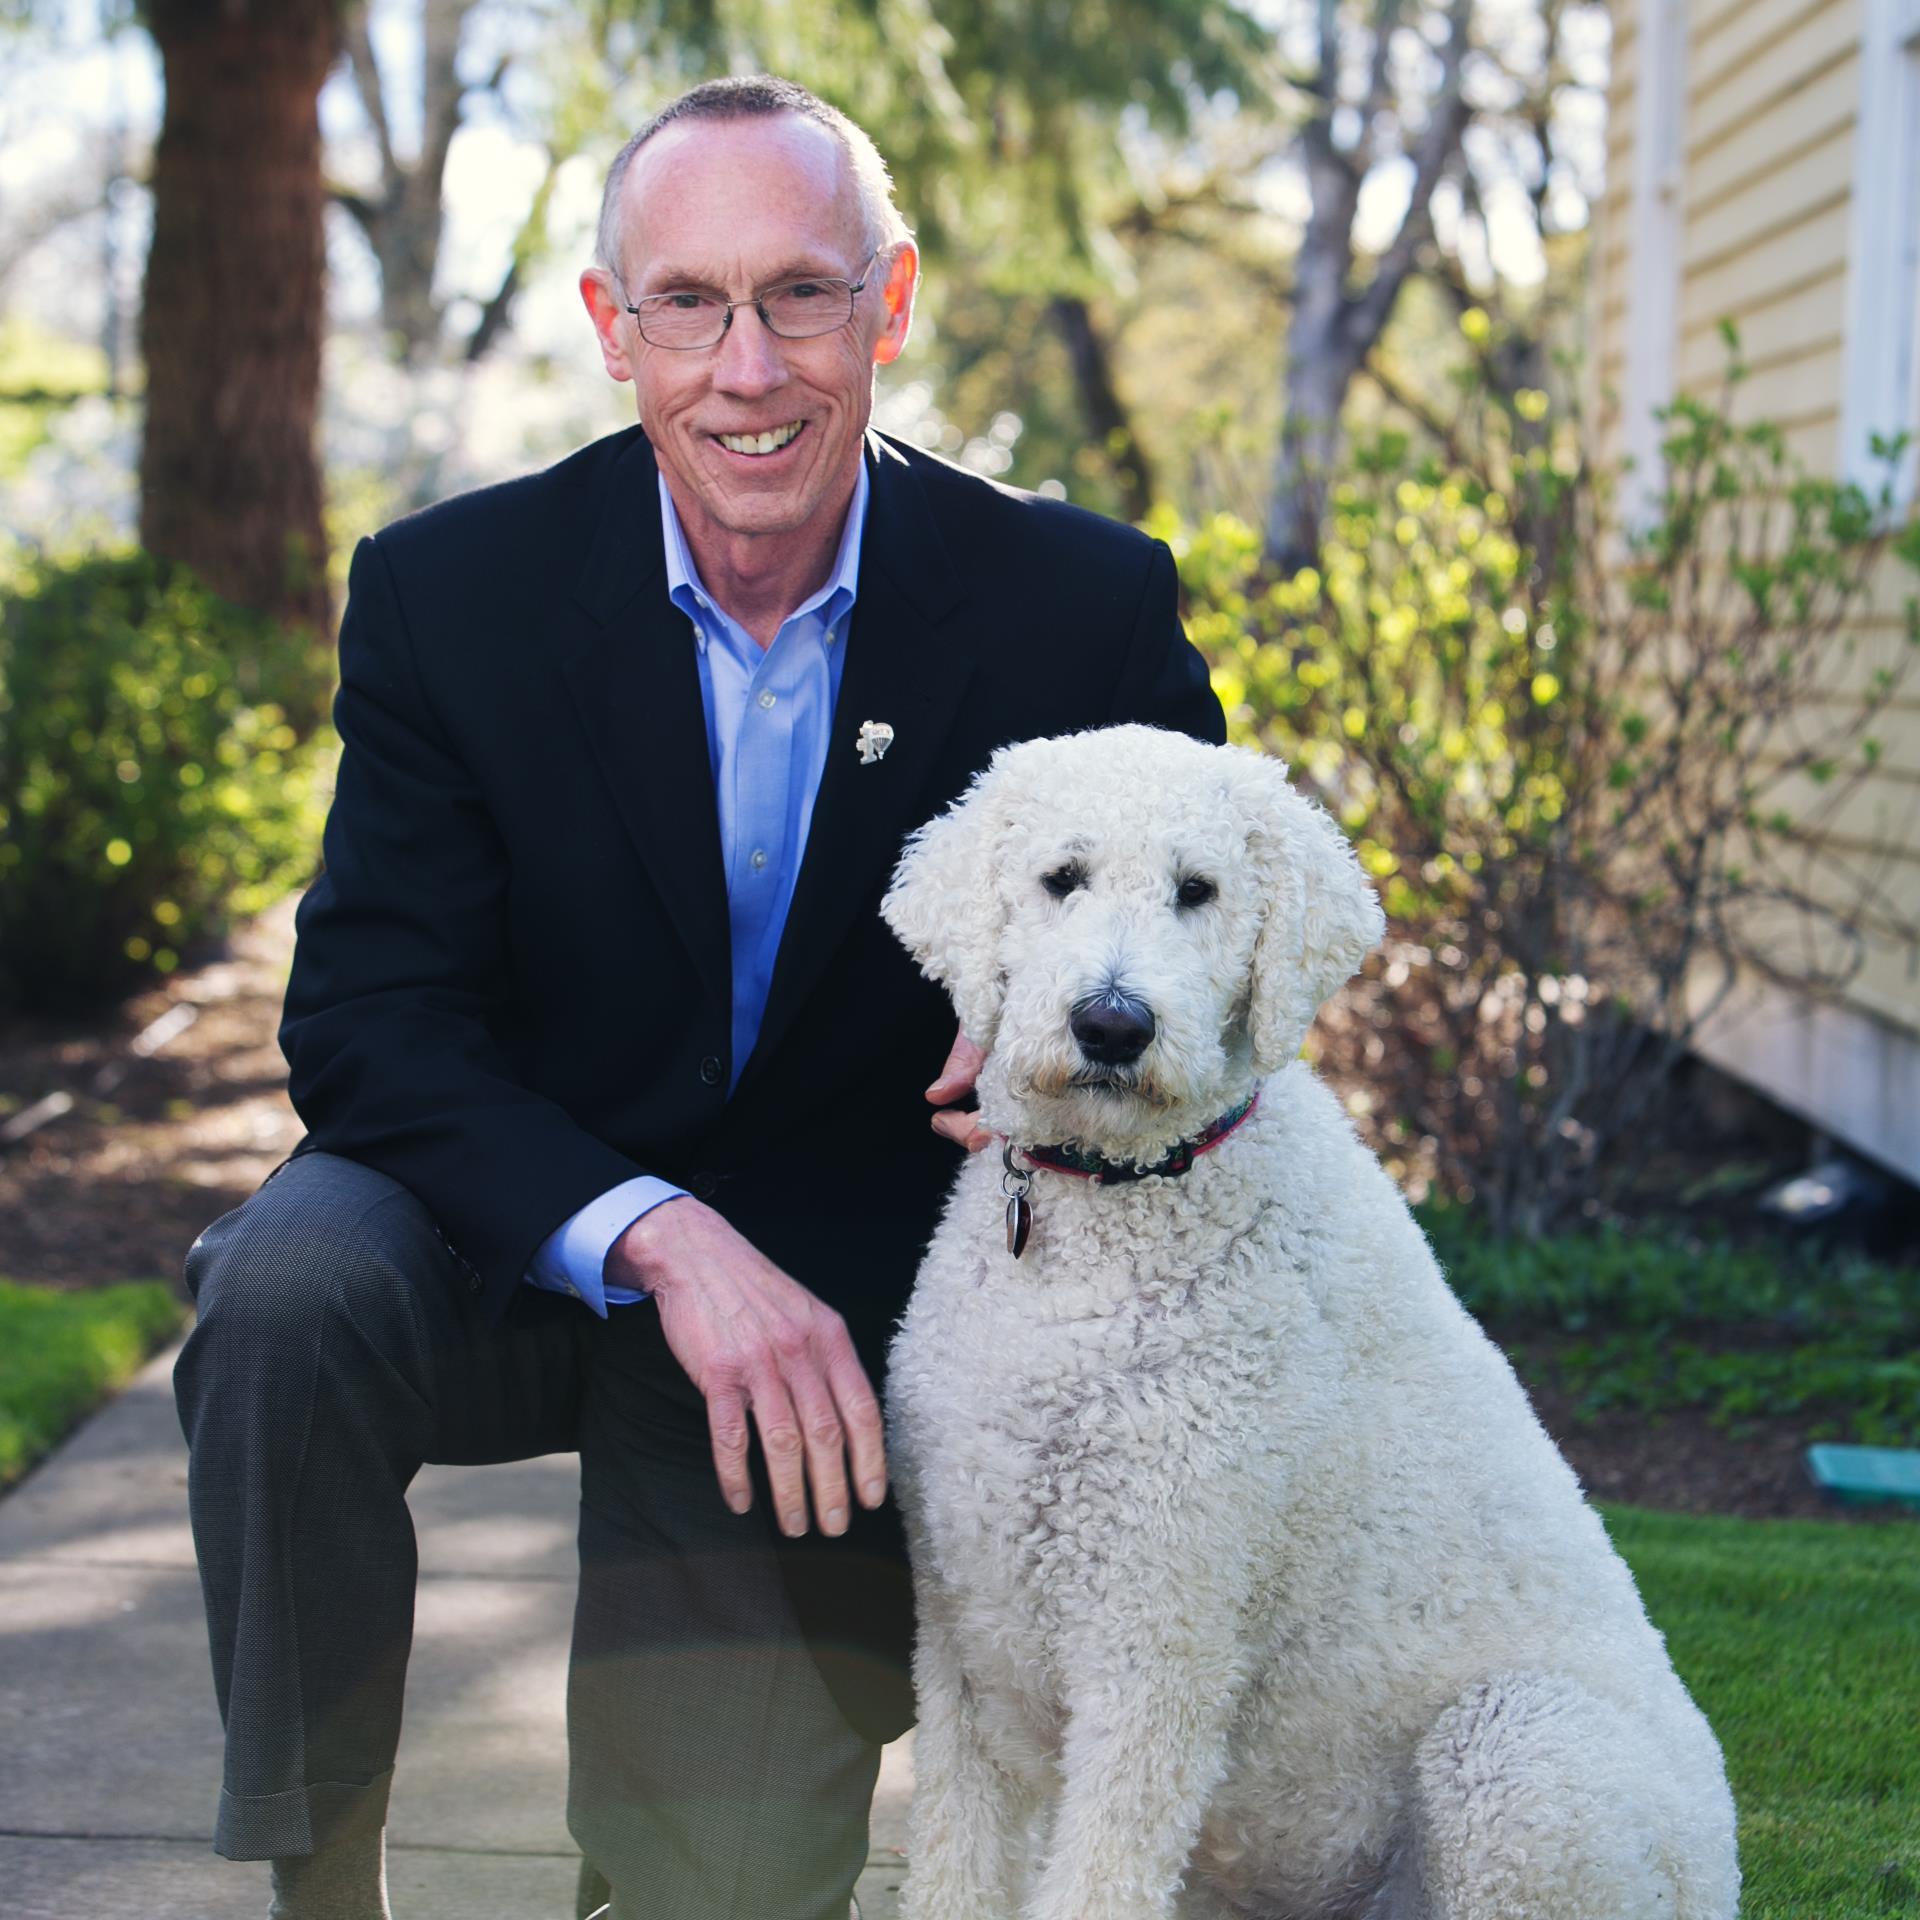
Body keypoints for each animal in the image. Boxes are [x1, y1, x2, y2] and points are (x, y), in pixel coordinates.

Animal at [883, 725, 1743, 1920]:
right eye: (1062, 878)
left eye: (1197, 891)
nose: (1112, 1024)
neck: (1113, 1207)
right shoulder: (966, 1634)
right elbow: (954, 1866)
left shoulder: (1158, 1642)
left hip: (1523, 1754)